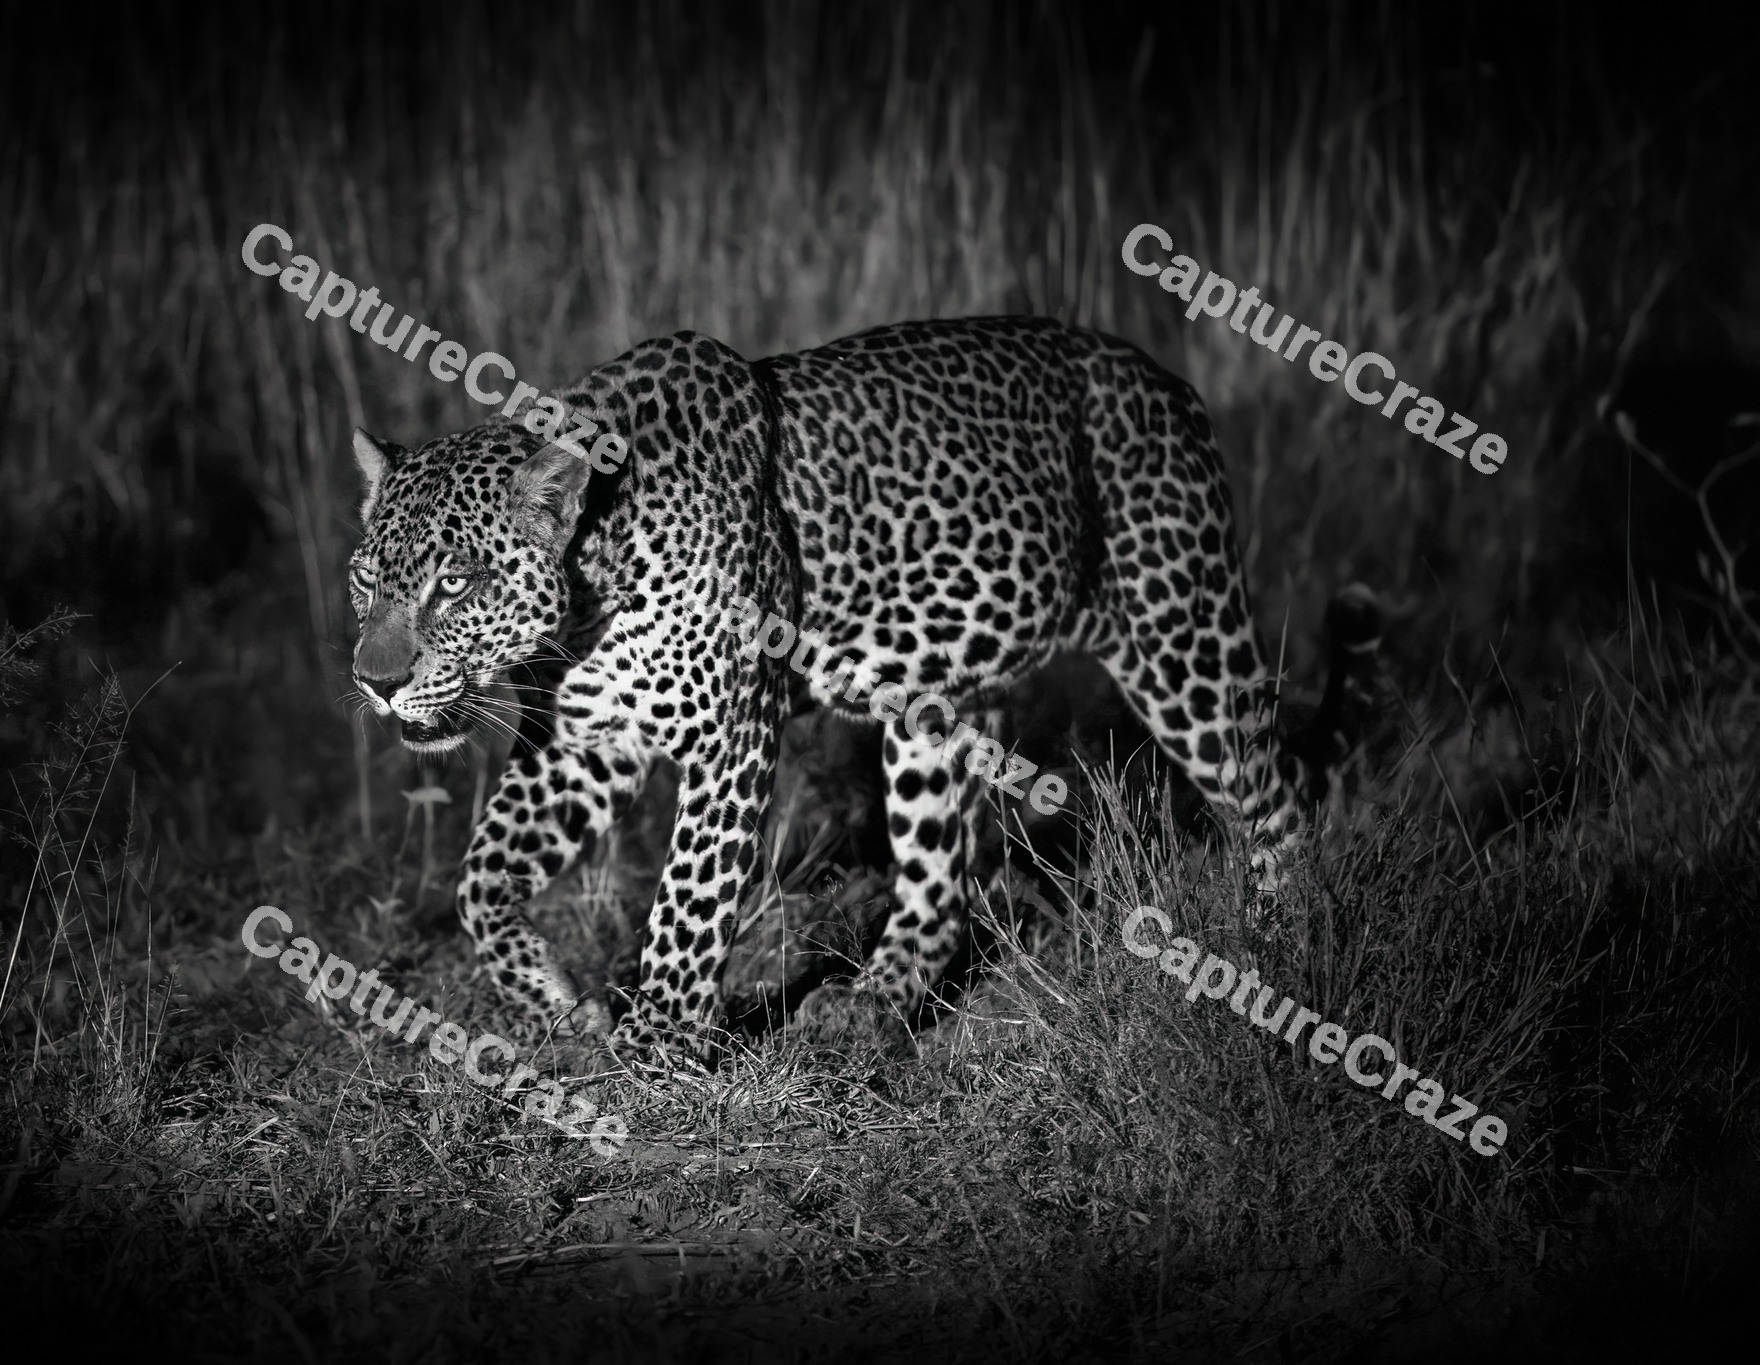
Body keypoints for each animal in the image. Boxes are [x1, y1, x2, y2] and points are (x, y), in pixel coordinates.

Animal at [346, 316, 1380, 1060]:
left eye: (454, 582)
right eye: (365, 580)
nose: (375, 681)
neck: (591, 582)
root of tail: (1172, 383)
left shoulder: (729, 733)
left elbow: (687, 900)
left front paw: (654, 1044)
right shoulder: (586, 741)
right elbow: (480, 878)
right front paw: (557, 1010)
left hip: (1180, 634)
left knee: (1278, 792)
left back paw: (1282, 951)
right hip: (929, 709)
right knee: (939, 885)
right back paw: (869, 1007)